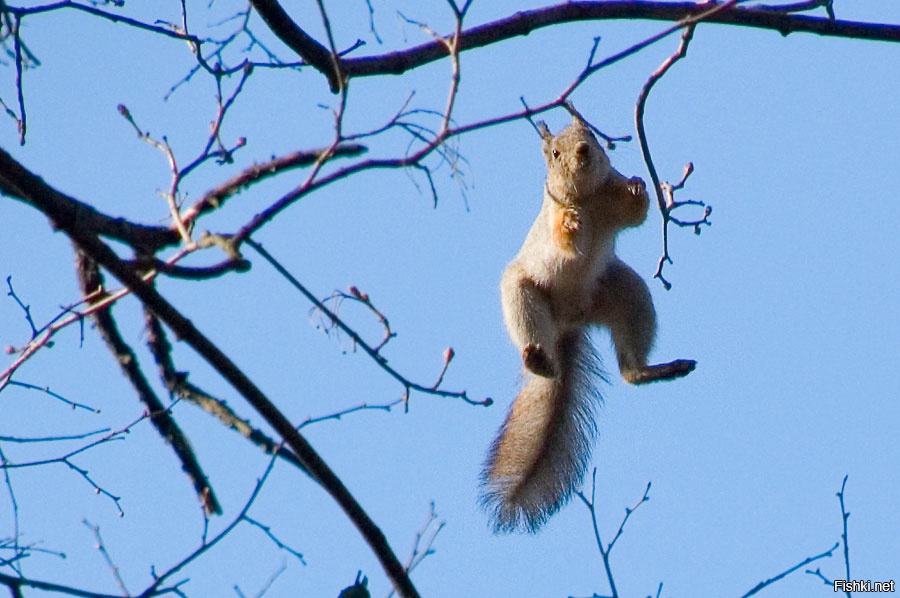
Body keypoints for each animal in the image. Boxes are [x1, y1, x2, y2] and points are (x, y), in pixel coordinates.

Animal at [478, 106, 696, 536]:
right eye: (554, 154)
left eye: (590, 137)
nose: (581, 152)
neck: (588, 198)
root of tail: (567, 323)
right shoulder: (554, 214)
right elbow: (564, 237)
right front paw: (570, 224)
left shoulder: (612, 198)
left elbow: (636, 214)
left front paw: (638, 188)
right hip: (524, 298)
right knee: (536, 342)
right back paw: (540, 361)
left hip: (628, 296)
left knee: (629, 367)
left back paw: (654, 370)